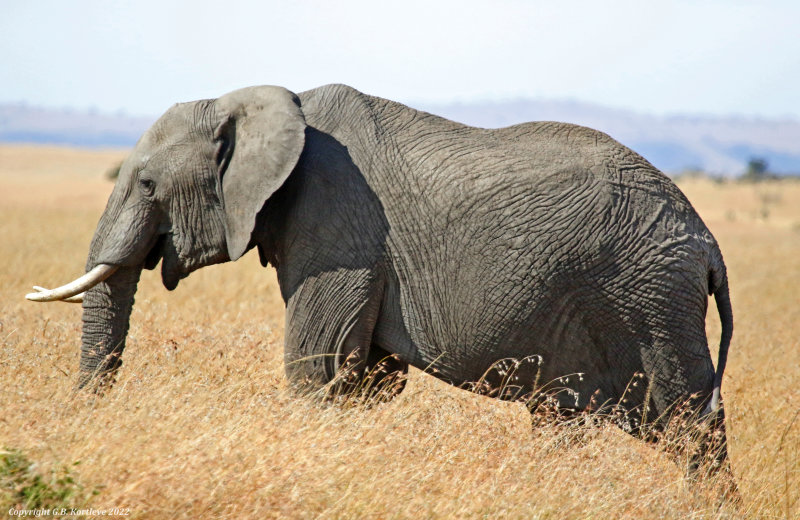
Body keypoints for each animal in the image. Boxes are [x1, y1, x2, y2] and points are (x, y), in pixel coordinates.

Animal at [28, 85, 736, 476]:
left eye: (148, 184)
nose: (84, 426)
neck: (254, 103)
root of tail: (708, 245)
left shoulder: (337, 225)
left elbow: (317, 364)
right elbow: (368, 377)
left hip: (652, 299)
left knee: (689, 424)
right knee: (569, 418)